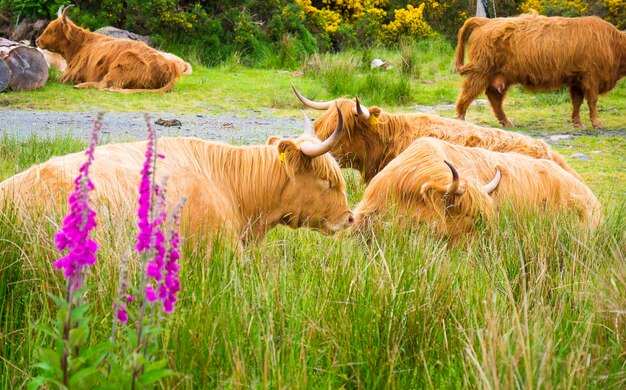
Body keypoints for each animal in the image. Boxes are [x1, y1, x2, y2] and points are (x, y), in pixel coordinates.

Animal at [36, 5, 179, 92]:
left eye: (53, 30)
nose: (37, 41)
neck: (79, 46)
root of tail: (169, 66)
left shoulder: (70, 74)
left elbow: (57, 79)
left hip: (121, 65)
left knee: (104, 85)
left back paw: (80, 85)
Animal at [454, 11, 624, 128]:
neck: (614, 43)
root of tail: (484, 21)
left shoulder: (577, 79)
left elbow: (577, 101)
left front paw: (577, 123)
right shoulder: (591, 76)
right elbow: (592, 100)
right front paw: (597, 123)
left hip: (500, 76)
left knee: (494, 97)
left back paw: (507, 122)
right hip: (480, 72)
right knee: (467, 93)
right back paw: (460, 119)